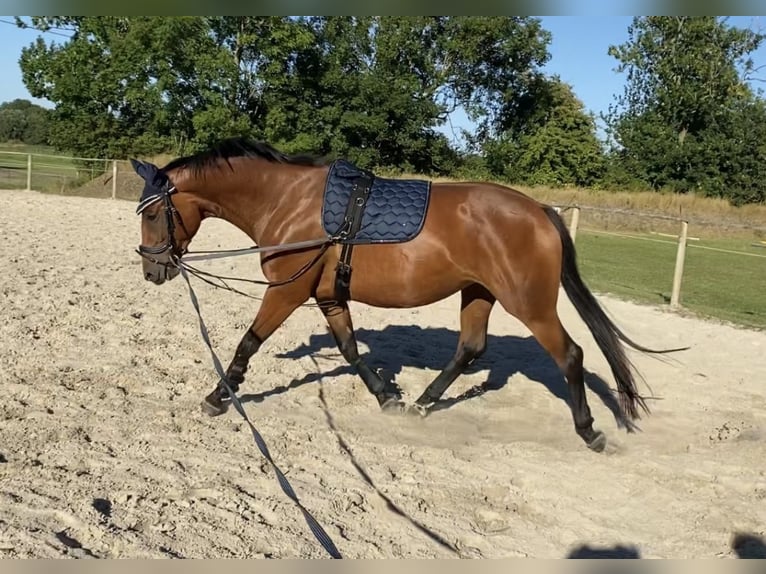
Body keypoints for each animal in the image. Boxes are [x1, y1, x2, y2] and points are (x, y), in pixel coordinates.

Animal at [130, 136, 684, 454]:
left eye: (154, 212)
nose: (152, 270)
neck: (286, 201)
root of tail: (540, 211)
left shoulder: (286, 291)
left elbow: (248, 344)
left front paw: (217, 397)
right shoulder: (328, 296)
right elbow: (350, 349)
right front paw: (386, 397)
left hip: (530, 305)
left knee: (569, 355)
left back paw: (589, 431)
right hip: (478, 293)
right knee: (470, 348)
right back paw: (421, 404)